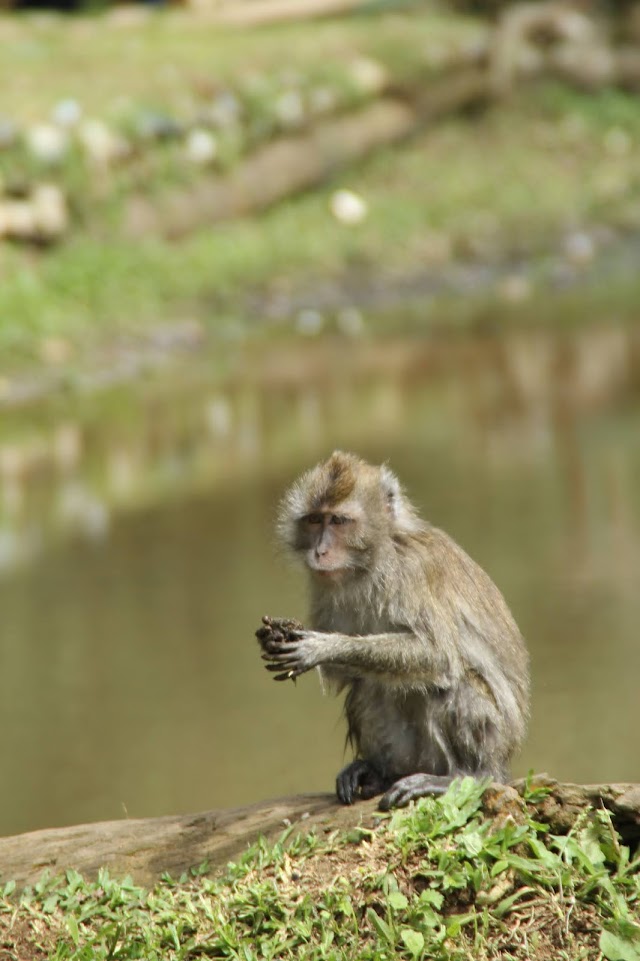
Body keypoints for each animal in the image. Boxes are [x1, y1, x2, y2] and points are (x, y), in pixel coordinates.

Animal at [256, 450, 528, 808]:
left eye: (338, 521)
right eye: (315, 520)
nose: (320, 551)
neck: (370, 562)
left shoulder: (410, 573)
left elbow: (438, 656)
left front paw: (320, 647)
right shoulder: (323, 588)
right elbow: (342, 676)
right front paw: (278, 637)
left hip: (493, 741)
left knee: (452, 685)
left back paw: (468, 775)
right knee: (368, 686)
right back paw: (379, 773)